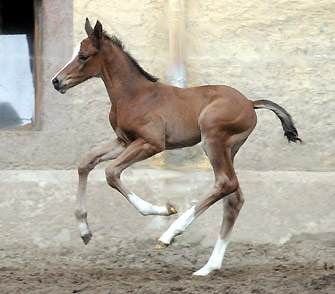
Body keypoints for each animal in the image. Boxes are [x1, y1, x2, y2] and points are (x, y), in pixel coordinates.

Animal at [51, 19, 302, 276]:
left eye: (83, 56)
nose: (57, 81)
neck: (134, 95)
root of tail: (250, 103)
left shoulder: (151, 143)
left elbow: (111, 173)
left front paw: (163, 209)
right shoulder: (124, 141)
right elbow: (86, 162)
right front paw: (84, 231)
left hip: (212, 139)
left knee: (225, 183)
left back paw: (169, 235)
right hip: (229, 148)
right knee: (234, 198)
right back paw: (208, 267)